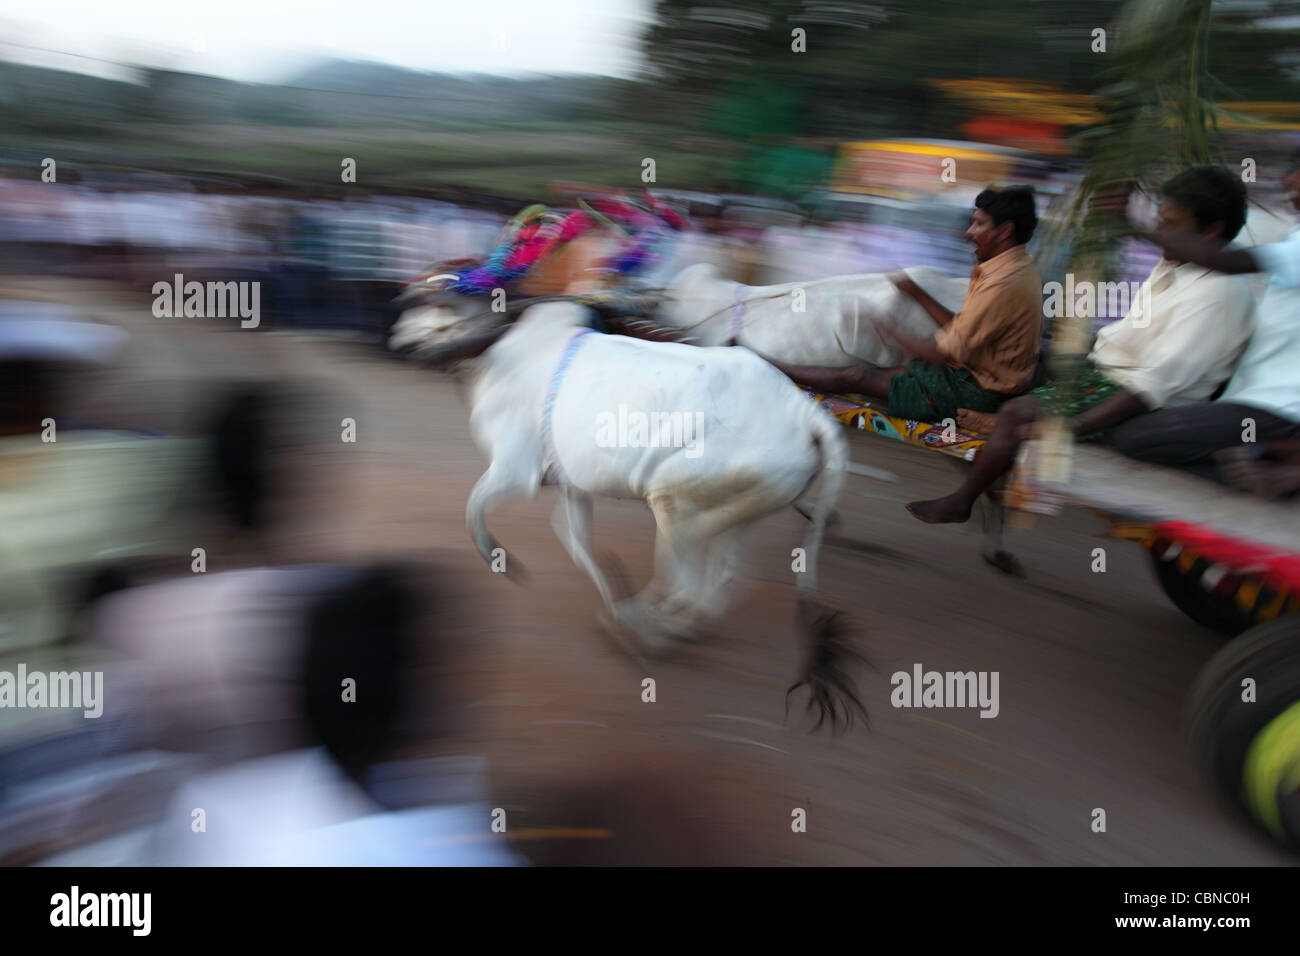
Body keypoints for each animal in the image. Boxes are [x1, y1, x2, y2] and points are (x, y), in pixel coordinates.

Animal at [462, 303, 868, 728]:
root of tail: (804, 412)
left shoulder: (515, 469)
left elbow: (475, 507)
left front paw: (500, 560)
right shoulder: (571, 487)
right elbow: (576, 541)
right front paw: (613, 594)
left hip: (673, 503)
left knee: (688, 584)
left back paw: (644, 633)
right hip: (739, 509)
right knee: (722, 581)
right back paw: (658, 624)